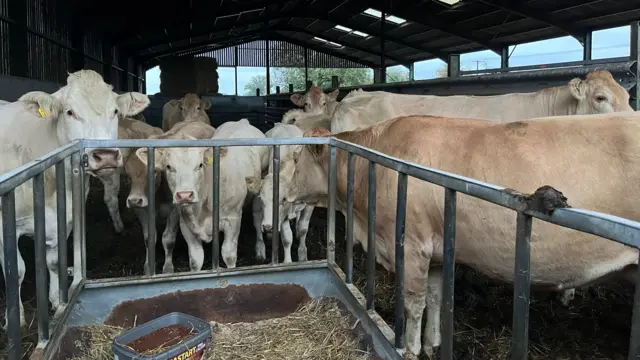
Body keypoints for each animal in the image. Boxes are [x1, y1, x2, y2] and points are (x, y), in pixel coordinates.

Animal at [0, 68, 149, 330]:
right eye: (70, 112)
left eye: (115, 111)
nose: (105, 156)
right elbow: (15, 271)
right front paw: (15, 320)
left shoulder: (64, 216)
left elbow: (53, 261)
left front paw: (55, 302)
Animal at [246, 122, 314, 262]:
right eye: (262, 199)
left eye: (283, 199)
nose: (268, 227)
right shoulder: (282, 214)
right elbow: (287, 238)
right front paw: (287, 262)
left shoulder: (310, 204)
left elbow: (303, 228)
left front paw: (302, 254)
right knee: (257, 219)